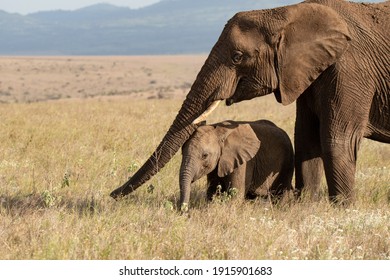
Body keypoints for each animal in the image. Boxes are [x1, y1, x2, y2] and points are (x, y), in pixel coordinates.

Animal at [110, 0, 390, 206]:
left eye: (237, 56)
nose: (111, 194)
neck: (287, 13)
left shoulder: (351, 68)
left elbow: (337, 139)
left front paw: (342, 210)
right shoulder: (306, 71)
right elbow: (306, 138)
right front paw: (305, 208)